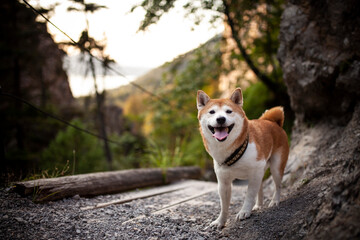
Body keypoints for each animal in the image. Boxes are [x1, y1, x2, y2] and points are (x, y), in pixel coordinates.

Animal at [197, 88, 290, 229]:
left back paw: (274, 201)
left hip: (276, 168)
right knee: (260, 188)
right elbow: (224, 206)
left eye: (228, 111)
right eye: (212, 112)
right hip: (261, 171)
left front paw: (244, 211)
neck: (229, 150)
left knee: (278, 186)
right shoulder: (223, 182)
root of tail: (273, 122)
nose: (220, 119)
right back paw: (258, 205)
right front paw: (220, 221)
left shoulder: (255, 172)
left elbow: (249, 195)